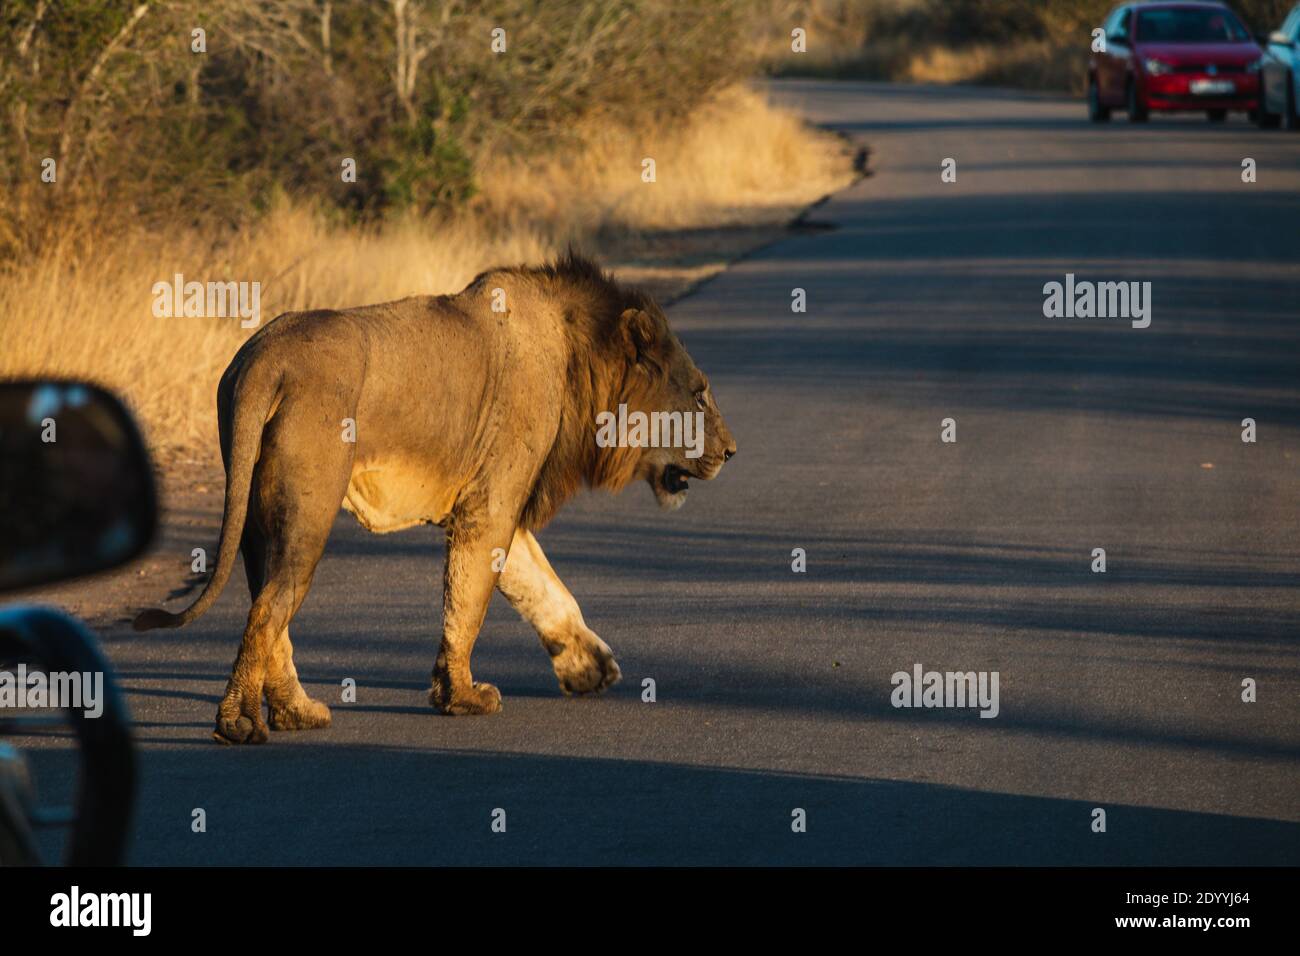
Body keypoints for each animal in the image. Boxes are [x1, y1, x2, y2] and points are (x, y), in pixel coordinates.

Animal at [139, 256, 743, 749]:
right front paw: (462, 697)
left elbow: (539, 585)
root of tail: (264, 357)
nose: (732, 452)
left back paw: (296, 712)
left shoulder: (490, 500)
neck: (581, 361)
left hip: (256, 517)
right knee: (269, 609)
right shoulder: (491, 503)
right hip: (308, 513)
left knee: (266, 608)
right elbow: (470, 600)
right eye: (698, 395)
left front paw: (588, 668)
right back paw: (240, 723)